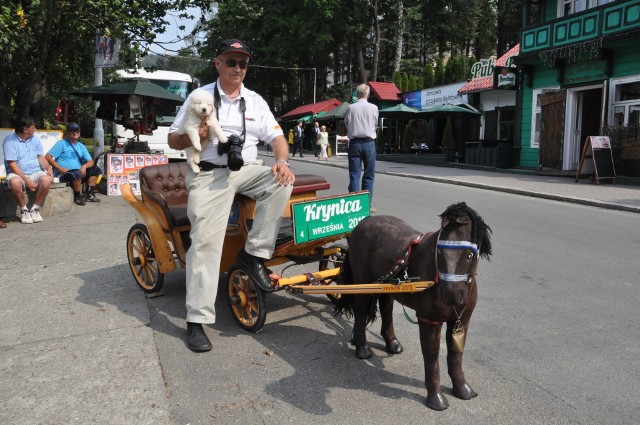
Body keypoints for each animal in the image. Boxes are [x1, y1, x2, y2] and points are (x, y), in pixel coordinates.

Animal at [338, 202, 492, 410]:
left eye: (468, 255)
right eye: (440, 251)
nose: (450, 294)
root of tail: (362, 223)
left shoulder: (462, 320)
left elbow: (455, 354)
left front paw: (463, 390)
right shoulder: (429, 320)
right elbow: (432, 356)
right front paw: (436, 398)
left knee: (386, 308)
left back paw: (391, 343)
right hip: (362, 282)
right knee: (361, 311)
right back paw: (361, 348)